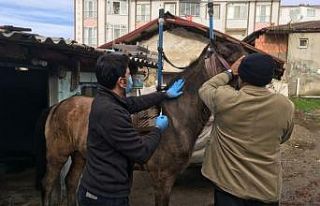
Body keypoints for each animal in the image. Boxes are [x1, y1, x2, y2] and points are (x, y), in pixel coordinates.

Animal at [37, 42, 248, 206]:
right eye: (234, 56)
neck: (176, 119)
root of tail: (59, 105)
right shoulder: (162, 178)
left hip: (80, 155)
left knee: (71, 182)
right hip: (57, 154)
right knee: (48, 183)